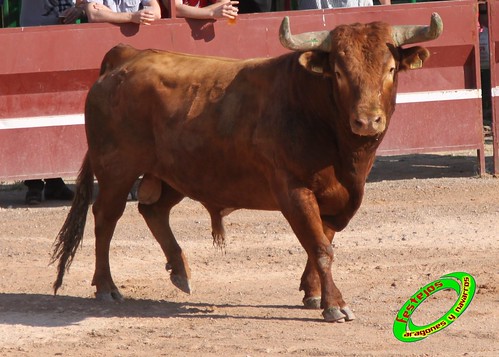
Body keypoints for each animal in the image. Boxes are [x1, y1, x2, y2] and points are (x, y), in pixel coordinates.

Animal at [52, 15, 444, 322]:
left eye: (390, 69)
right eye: (337, 72)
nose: (367, 121)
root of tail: (126, 56)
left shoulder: (338, 196)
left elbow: (323, 240)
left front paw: (313, 293)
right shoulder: (293, 190)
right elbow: (320, 246)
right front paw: (335, 305)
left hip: (176, 173)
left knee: (153, 210)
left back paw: (180, 271)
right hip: (116, 170)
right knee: (105, 219)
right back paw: (107, 287)